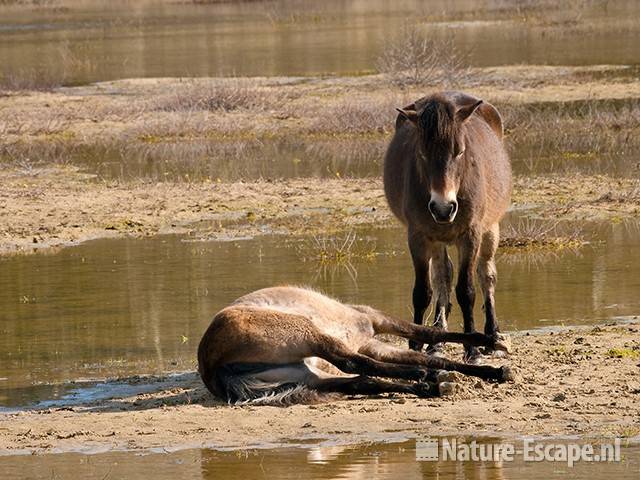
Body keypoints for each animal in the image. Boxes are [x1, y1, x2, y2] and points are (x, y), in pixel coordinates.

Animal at [384, 91, 510, 364]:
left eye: (459, 151)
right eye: (422, 153)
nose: (443, 208)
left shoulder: (470, 235)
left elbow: (467, 291)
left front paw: (473, 349)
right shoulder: (418, 236)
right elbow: (424, 291)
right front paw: (417, 344)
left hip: (490, 230)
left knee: (487, 274)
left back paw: (492, 336)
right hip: (437, 240)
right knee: (442, 276)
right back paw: (437, 339)